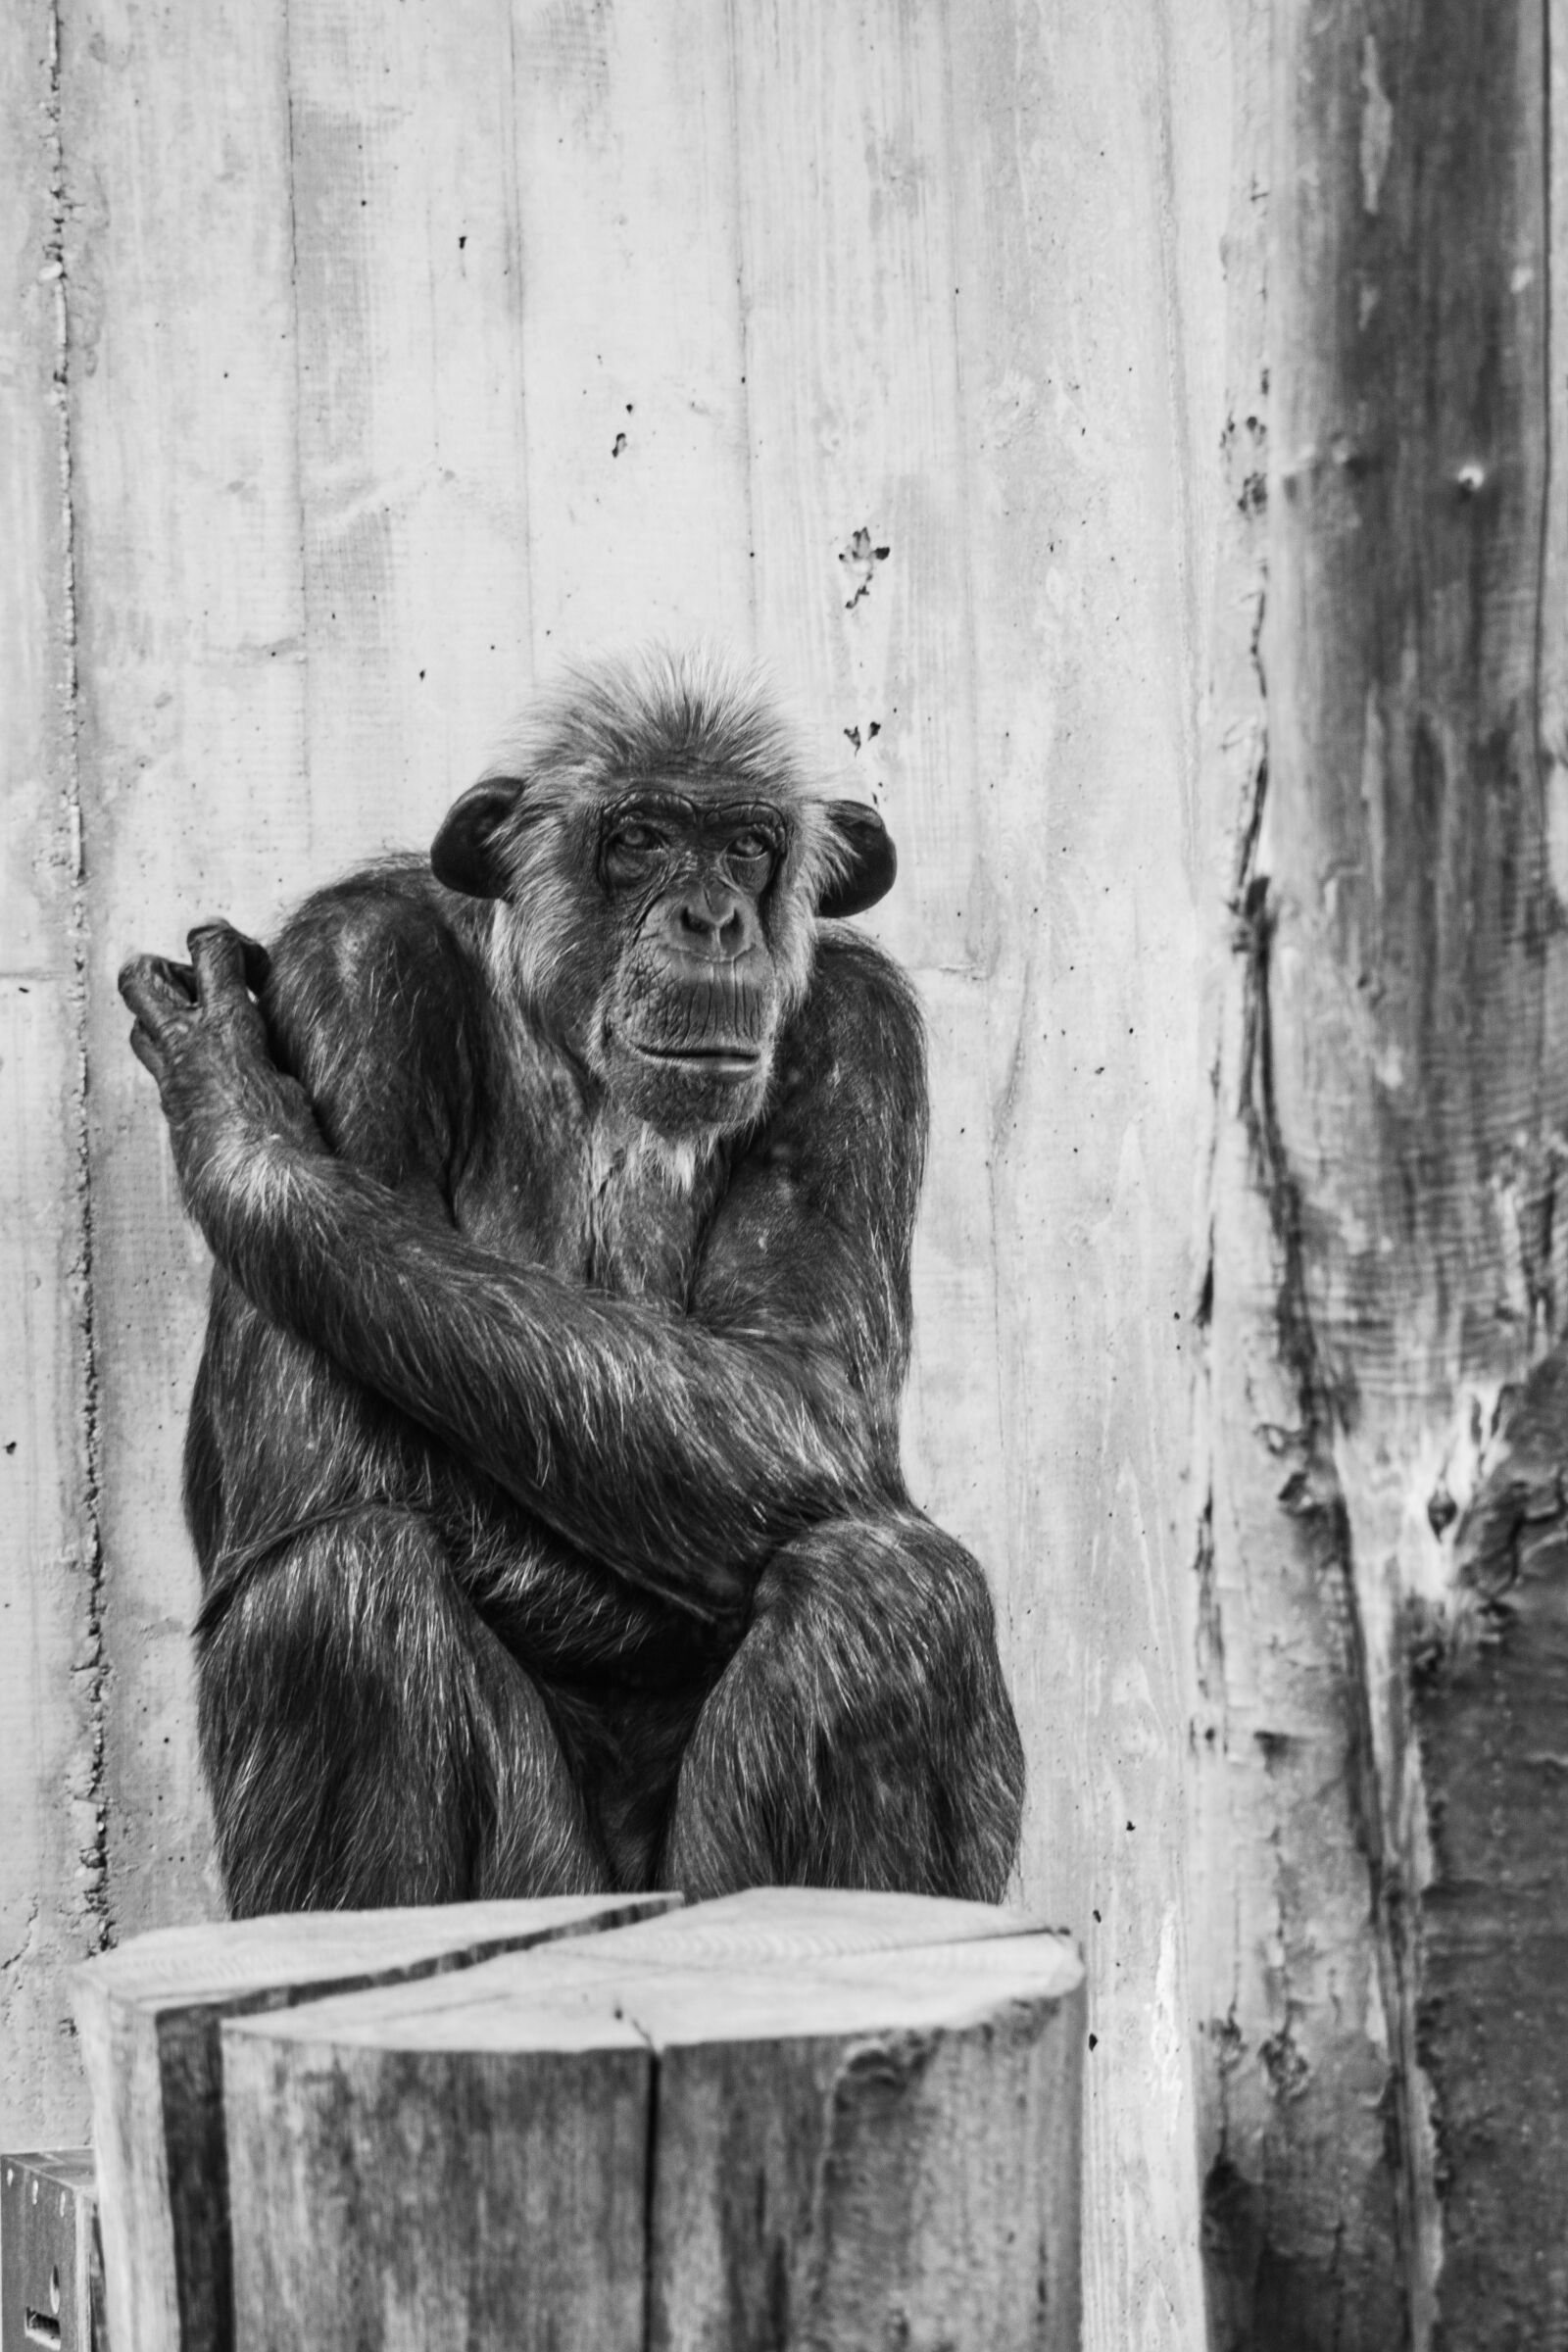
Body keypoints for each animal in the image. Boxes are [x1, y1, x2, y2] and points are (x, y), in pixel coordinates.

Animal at [118, 648, 1026, 1916]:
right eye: (638, 838)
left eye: (748, 845)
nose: (713, 918)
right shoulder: (348, 971)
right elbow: (310, 1465)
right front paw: (239, 1106)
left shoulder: (863, 1034)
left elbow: (807, 1397)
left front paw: (240, 1128)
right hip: (543, 1889)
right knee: (344, 1589)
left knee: (891, 1594)